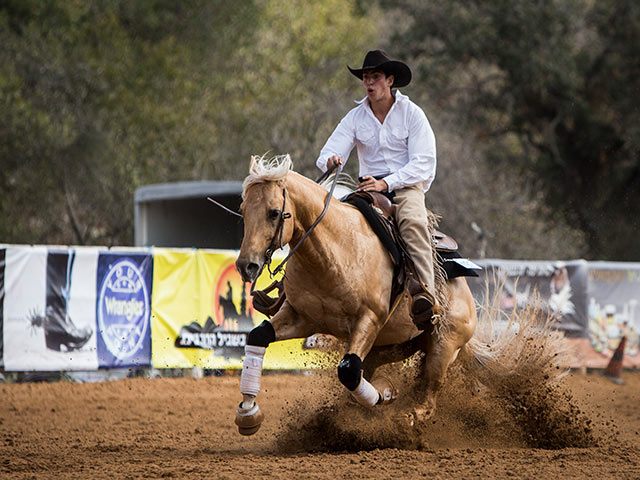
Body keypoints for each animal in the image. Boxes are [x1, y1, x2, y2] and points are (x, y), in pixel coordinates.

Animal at [232, 155, 478, 436]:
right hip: (392, 346)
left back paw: (407, 416)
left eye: (274, 212)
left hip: (444, 345)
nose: (247, 266)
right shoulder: (301, 317)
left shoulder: (369, 319)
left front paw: (386, 395)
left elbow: (349, 370)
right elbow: (258, 336)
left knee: (429, 393)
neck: (334, 253)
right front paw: (248, 412)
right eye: (243, 210)